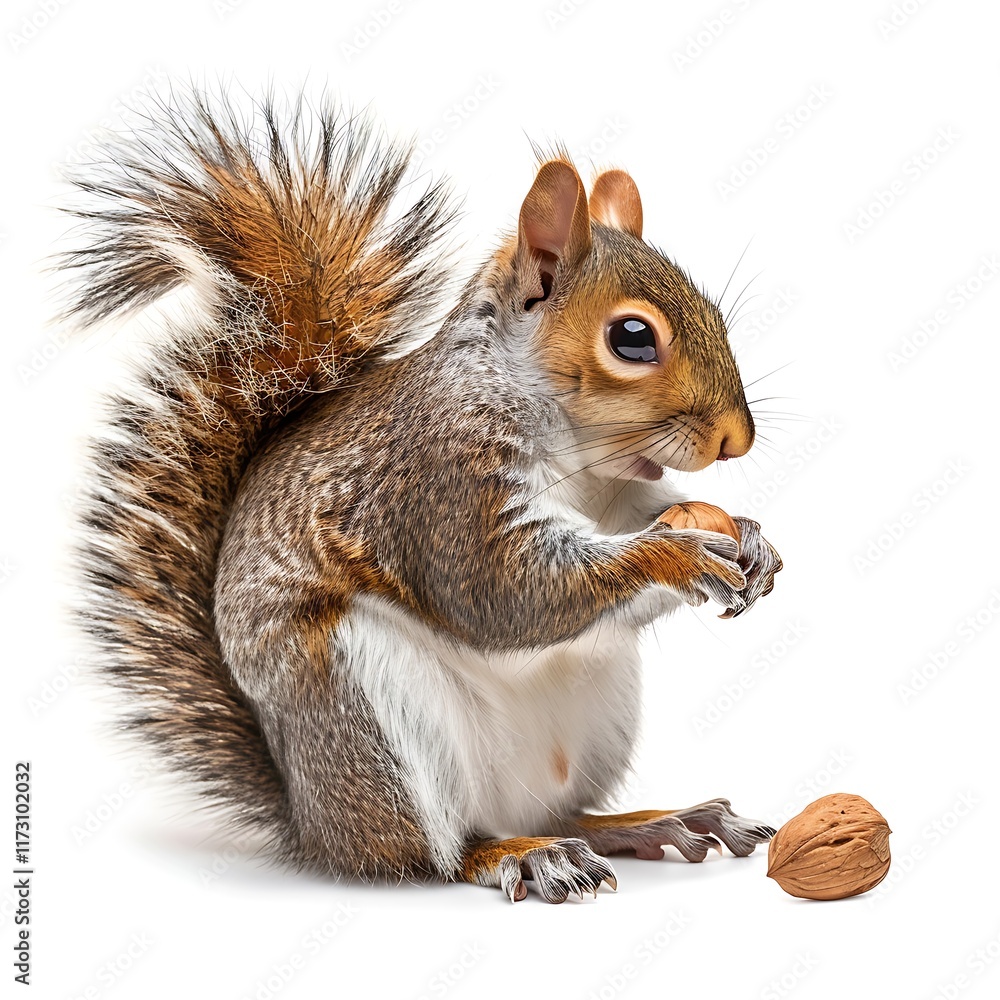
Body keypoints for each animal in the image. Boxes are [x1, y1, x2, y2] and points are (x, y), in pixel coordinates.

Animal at [63, 89, 783, 903]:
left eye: (715, 313)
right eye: (632, 338)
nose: (736, 439)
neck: (578, 454)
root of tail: (314, 826)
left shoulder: (614, 499)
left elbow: (634, 523)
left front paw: (751, 538)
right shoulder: (437, 483)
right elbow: (503, 591)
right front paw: (681, 555)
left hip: (601, 705)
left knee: (564, 812)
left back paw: (655, 822)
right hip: (371, 718)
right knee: (436, 852)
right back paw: (520, 856)